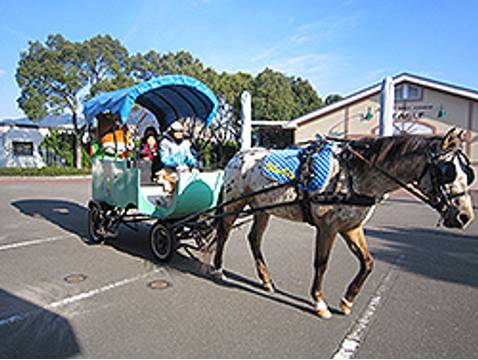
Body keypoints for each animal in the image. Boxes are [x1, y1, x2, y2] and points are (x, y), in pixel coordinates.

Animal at [209, 129, 474, 318]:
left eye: (467, 174)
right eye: (447, 171)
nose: (465, 216)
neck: (352, 175)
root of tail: (237, 156)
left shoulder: (351, 227)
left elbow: (367, 263)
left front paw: (347, 301)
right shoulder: (327, 227)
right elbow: (321, 264)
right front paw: (319, 302)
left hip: (263, 209)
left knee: (254, 239)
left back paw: (266, 280)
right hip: (234, 205)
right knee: (223, 233)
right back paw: (218, 269)